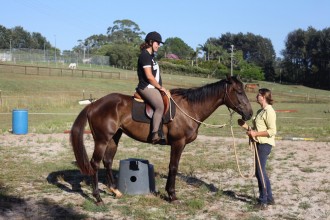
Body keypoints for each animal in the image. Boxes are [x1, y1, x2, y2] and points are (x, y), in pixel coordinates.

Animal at [70, 75, 253, 205]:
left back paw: (115, 191)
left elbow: (173, 167)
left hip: (114, 137)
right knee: (95, 164)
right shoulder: (178, 143)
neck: (190, 108)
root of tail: (93, 105)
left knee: (107, 160)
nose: (249, 113)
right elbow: (173, 167)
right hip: (102, 140)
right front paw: (172, 195)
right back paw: (98, 198)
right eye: (238, 91)